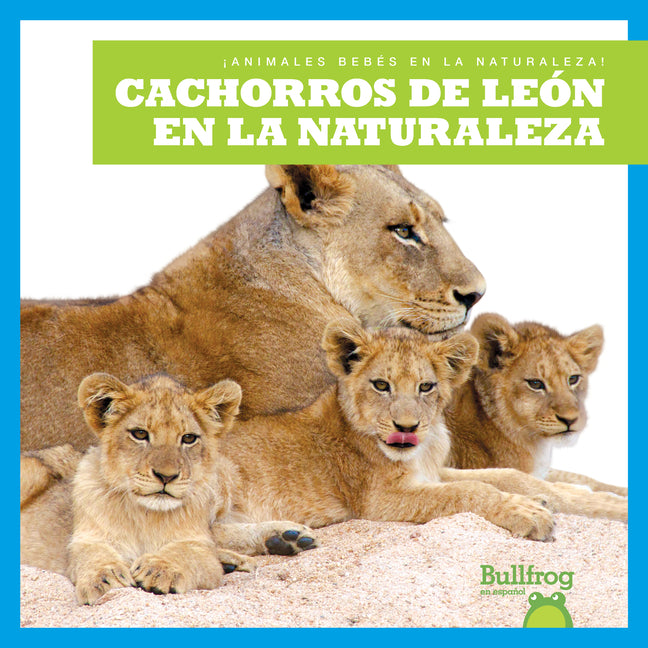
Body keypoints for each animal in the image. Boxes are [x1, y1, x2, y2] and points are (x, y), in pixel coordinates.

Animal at [21, 373, 318, 605]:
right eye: (140, 434)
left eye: (188, 438)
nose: (166, 476)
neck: (145, 514)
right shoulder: (86, 539)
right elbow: (93, 556)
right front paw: (104, 579)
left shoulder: (197, 544)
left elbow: (189, 553)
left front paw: (160, 570)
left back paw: (286, 538)